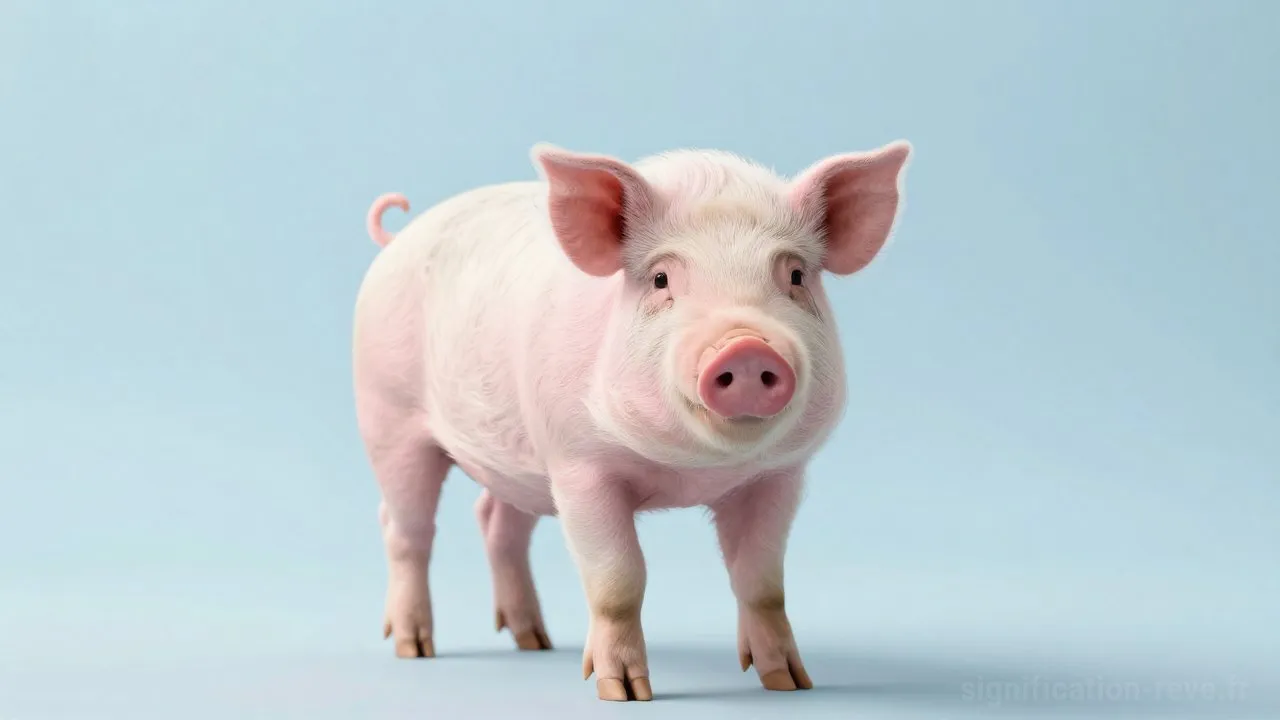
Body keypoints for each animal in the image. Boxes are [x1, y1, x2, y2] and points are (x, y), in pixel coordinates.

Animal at [352, 139, 912, 701]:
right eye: (662, 278)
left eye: (794, 276)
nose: (747, 347)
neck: (692, 471)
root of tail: (398, 239)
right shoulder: (579, 465)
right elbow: (619, 579)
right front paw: (623, 691)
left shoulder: (778, 475)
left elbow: (761, 582)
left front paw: (789, 682)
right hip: (387, 414)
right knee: (405, 528)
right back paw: (415, 647)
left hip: (522, 462)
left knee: (496, 522)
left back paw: (535, 641)